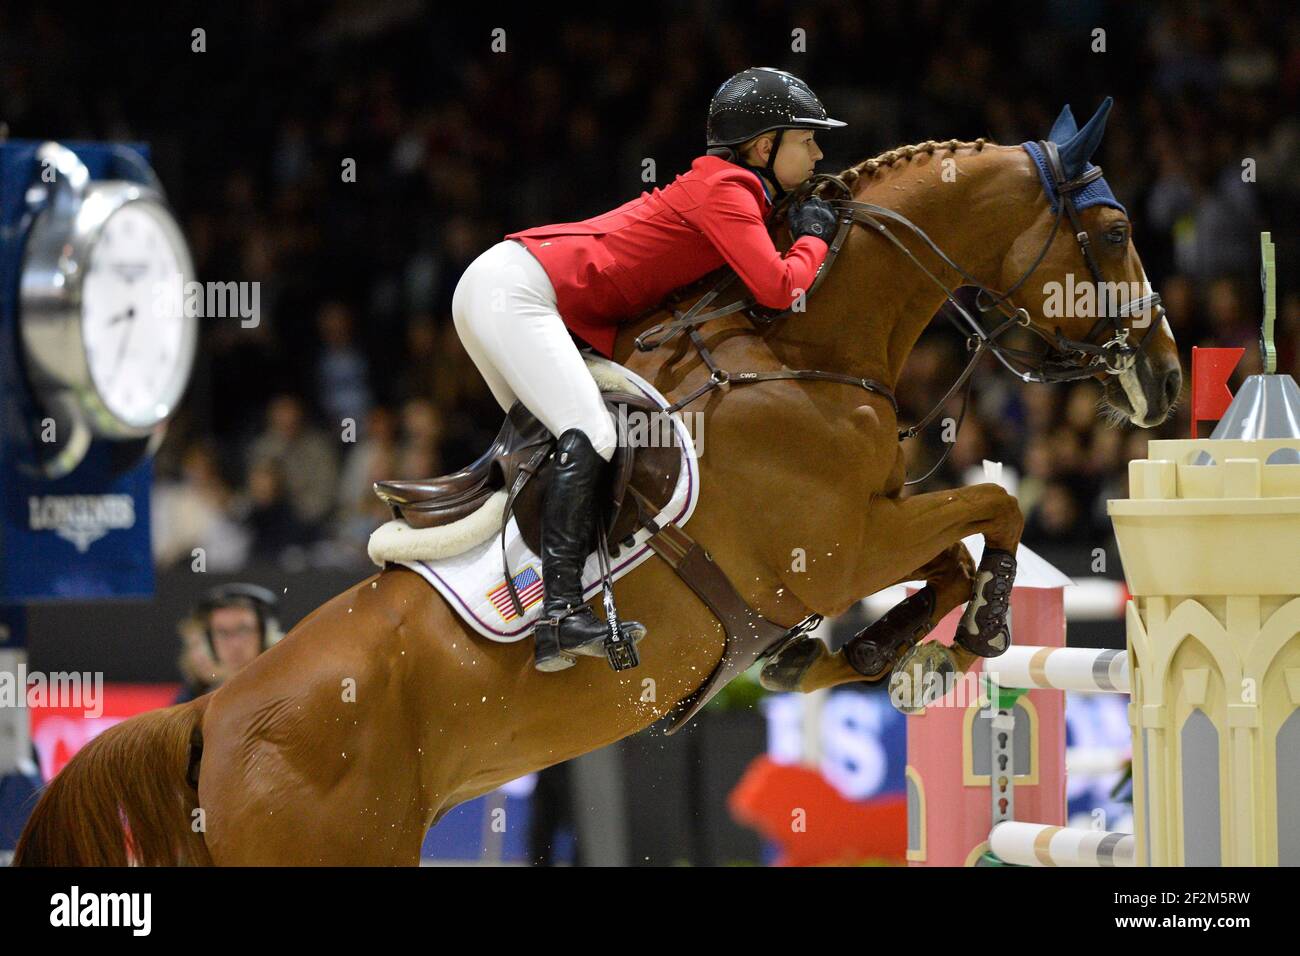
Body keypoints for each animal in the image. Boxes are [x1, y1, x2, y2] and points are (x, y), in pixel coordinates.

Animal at [17, 102, 1180, 868]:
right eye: (1116, 230)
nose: (1168, 375)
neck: (803, 348)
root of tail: (209, 715)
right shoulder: (836, 547)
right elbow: (996, 508)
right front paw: (977, 629)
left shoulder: (866, 531)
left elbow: (945, 551)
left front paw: (872, 653)